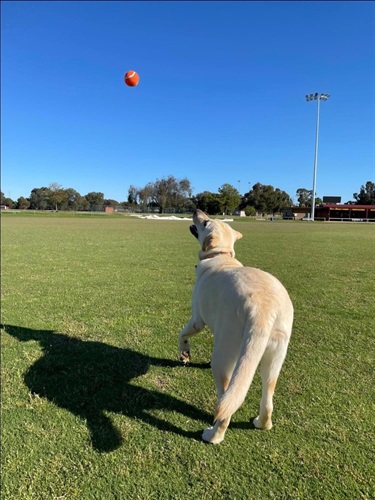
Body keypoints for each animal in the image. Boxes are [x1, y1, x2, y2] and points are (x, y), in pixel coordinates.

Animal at [178, 209, 296, 444]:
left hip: (224, 358)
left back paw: (213, 435)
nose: (196, 210)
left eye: (205, 222)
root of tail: (264, 310)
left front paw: (184, 355)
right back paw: (261, 423)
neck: (220, 256)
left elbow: (182, 334)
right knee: (267, 397)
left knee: (225, 404)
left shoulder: (197, 319)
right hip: (273, 358)